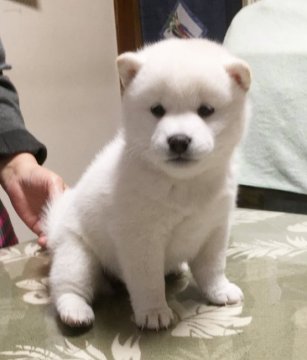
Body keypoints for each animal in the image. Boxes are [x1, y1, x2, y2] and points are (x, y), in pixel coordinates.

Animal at [44, 38, 251, 330]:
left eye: (206, 110)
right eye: (157, 110)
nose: (178, 140)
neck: (184, 184)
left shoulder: (215, 229)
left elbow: (212, 268)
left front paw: (219, 291)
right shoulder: (141, 237)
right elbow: (148, 280)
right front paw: (154, 311)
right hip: (77, 254)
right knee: (67, 287)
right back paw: (75, 311)